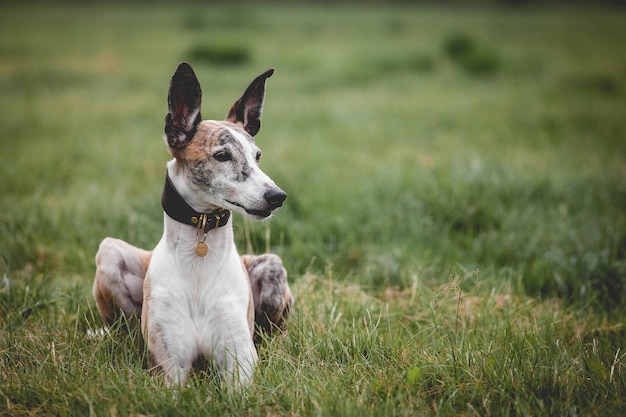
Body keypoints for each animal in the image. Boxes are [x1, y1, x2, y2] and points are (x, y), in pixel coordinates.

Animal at [92, 61, 292, 386]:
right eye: (222, 155)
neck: (200, 261)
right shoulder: (169, 367)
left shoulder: (240, 362)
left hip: (272, 268)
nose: (277, 197)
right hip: (109, 253)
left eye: (258, 156)